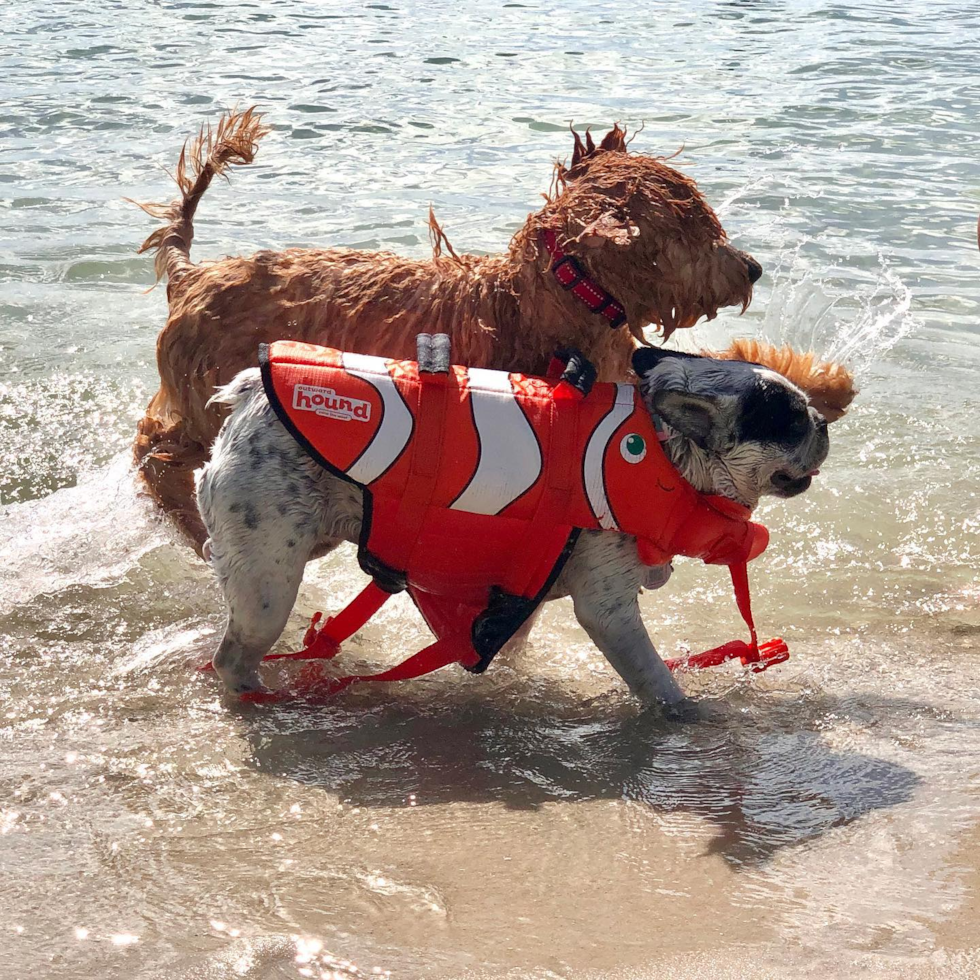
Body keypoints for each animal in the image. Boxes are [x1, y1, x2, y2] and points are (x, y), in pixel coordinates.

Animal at [197, 344, 828, 712]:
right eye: (792, 421)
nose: (824, 421)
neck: (662, 447)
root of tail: (249, 397)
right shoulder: (610, 611)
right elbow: (655, 679)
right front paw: (689, 716)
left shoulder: (523, 592)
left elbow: (513, 643)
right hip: (268, 586)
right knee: (233, 656)